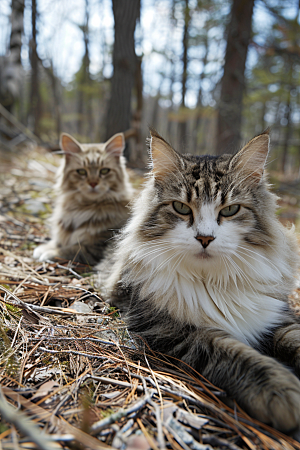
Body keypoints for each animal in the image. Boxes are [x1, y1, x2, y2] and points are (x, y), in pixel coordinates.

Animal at [32, 132, 134, 266]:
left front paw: (50, 253)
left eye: (104, 171)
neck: (81, 208)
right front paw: (43, 248)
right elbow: (56, 242)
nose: (93, 183)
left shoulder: (98, 246)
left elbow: (73, 249)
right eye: (81, 172)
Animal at [103, 128, 300, 434]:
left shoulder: (277, 316)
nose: (205, 238)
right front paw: (281, 391)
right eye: (180, 207)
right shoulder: (171, 329)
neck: (212, 280)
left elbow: (294, 339)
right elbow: (235, 355)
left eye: (230, 210)